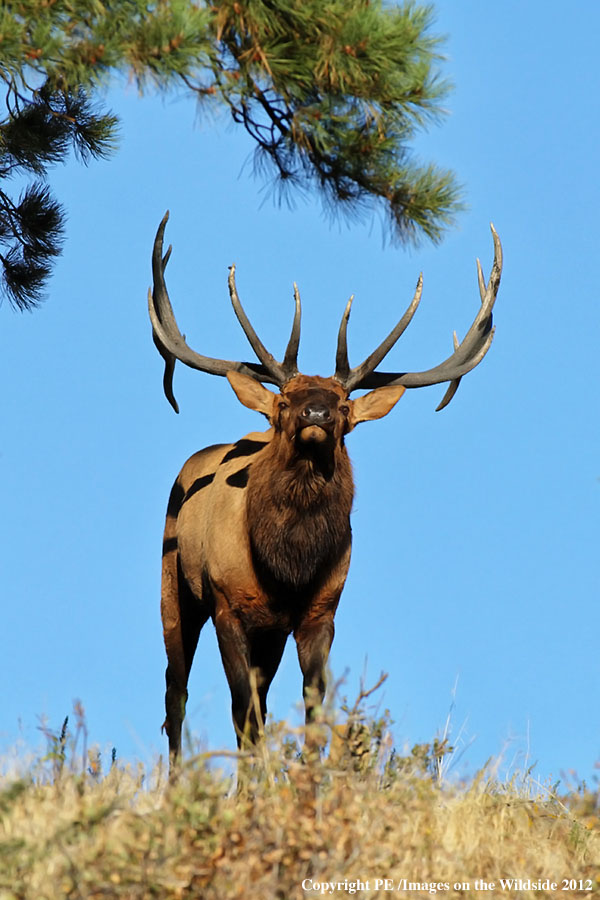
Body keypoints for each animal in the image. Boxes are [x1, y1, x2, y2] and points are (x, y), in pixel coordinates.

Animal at [149, 213, 502, 760]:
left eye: (342, 406)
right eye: (284, 402)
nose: (315, 414)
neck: (287, 567)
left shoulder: (320, 611)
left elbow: (313, 711)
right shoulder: (228, 601)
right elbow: (244, 713)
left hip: (269, 634)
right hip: (174, 586)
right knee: (176, 693)